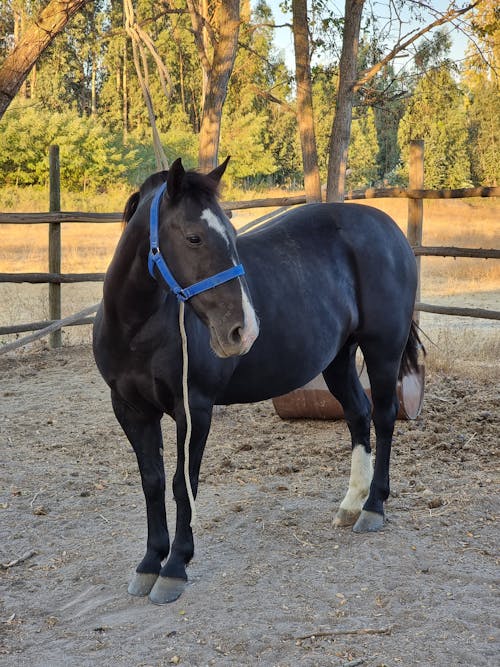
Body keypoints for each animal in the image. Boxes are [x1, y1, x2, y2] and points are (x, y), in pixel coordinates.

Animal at [93, 157, 422, 604]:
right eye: (194, 238)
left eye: (232, 235)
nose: (243, 331)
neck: (137, 326)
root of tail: (389, 229)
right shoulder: (130, 410)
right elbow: (152, 482)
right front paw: (149, 563)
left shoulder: (193, 409)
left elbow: (182, 484)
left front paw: (175, 566)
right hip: (338, 359)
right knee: (358, 414)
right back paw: (352, 502)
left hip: (382, 351)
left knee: (384, 417)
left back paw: (374, 507)